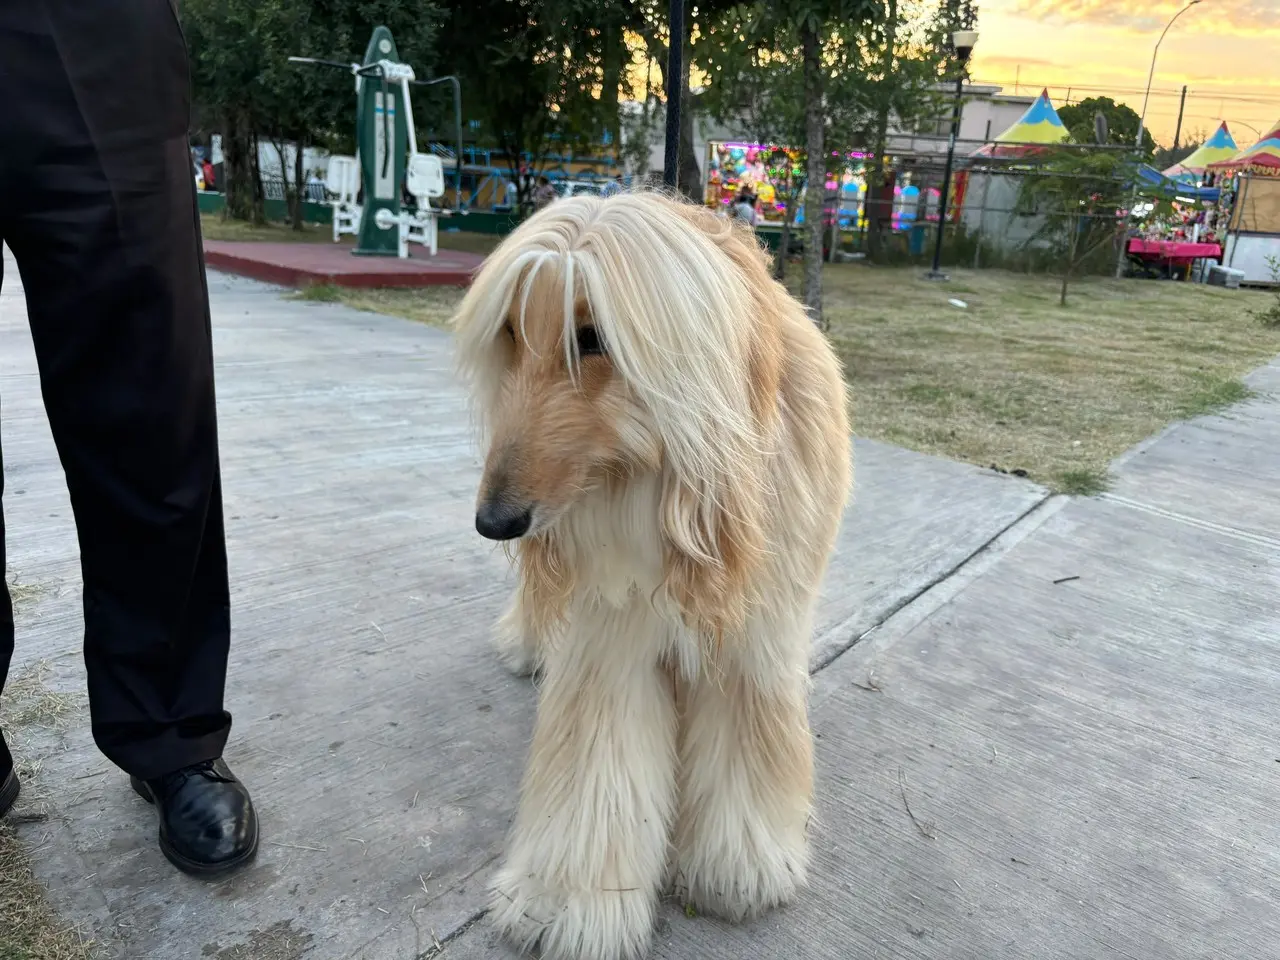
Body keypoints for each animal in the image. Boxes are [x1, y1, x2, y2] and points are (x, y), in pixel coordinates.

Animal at [450, 189, 849, 960]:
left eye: (591, 338)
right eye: (510, 331)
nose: (494, 521)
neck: (664, 484)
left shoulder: (758, 627)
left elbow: (748, 729)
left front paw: (738, 863)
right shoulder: (610, 627)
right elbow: (599, 754)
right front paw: (568, 897)